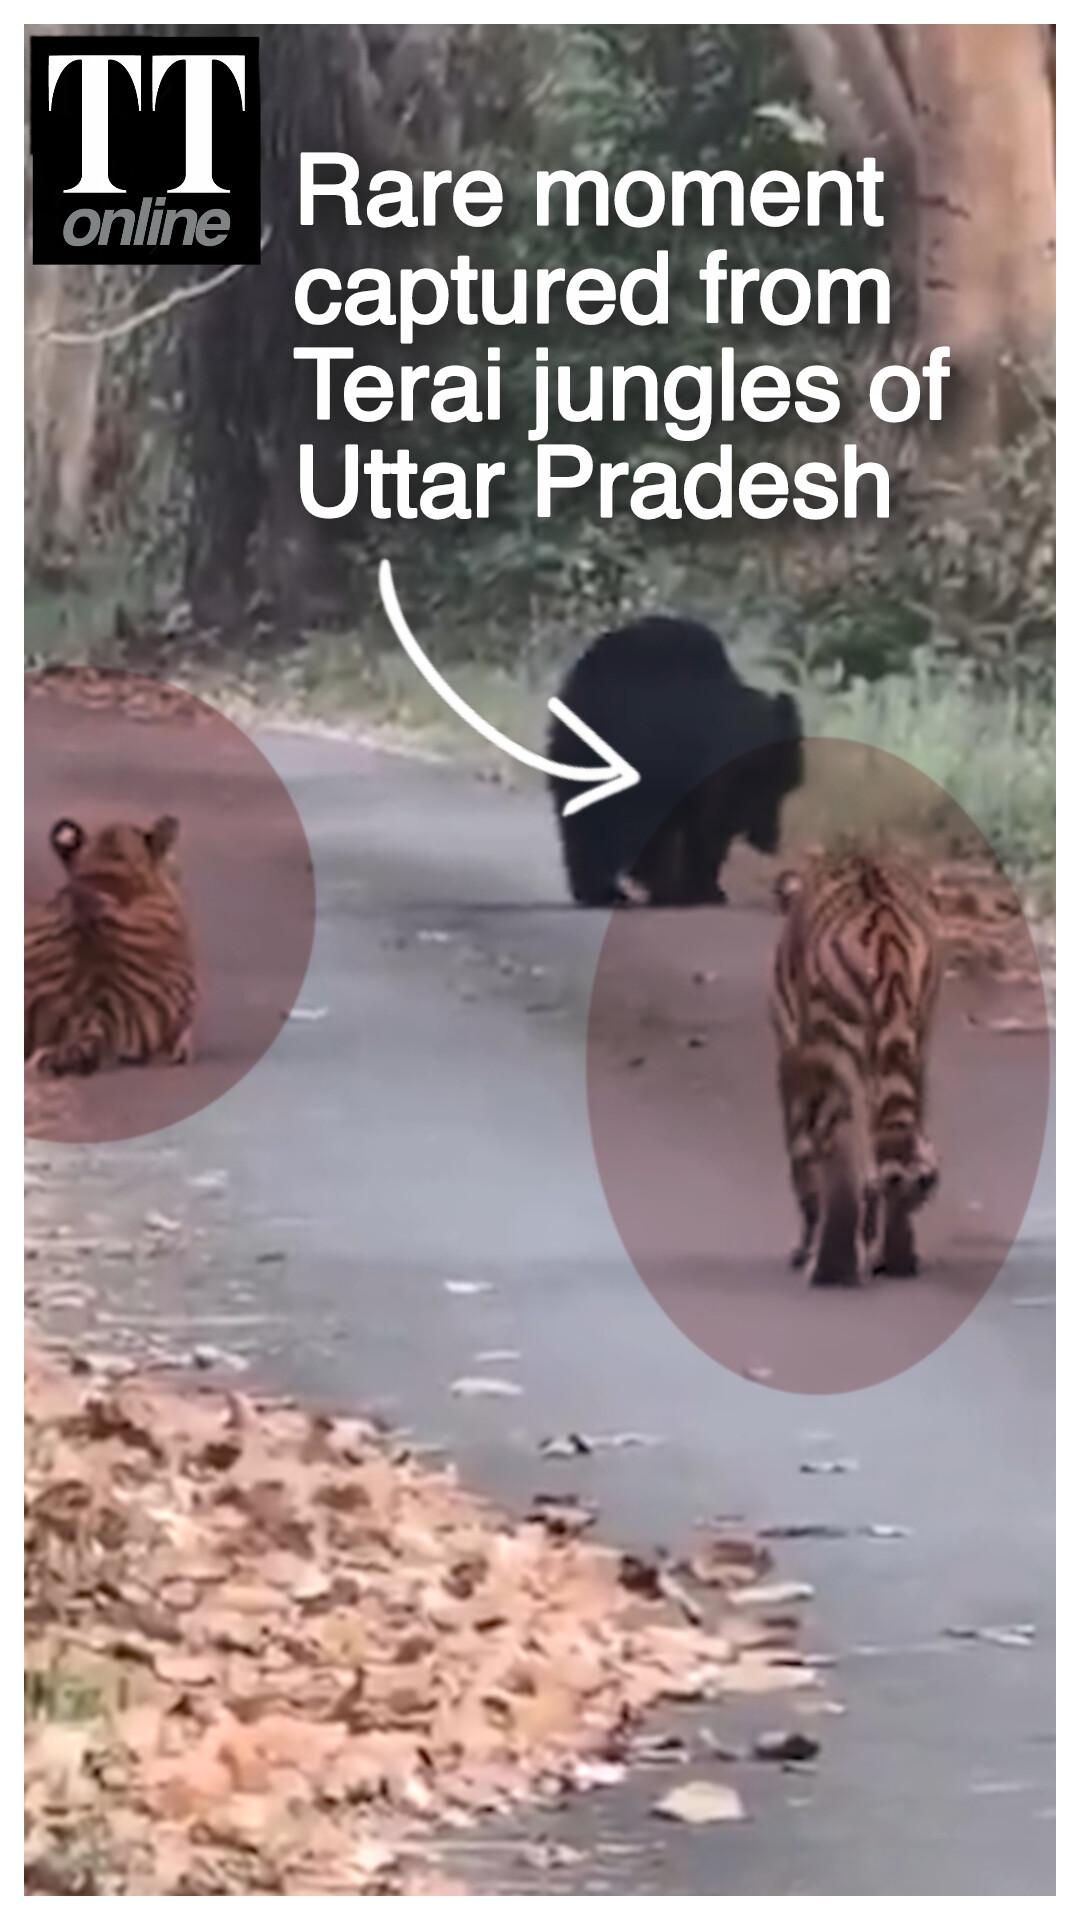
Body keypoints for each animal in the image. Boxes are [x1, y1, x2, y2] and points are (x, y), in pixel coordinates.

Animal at [547, 615, 804, 908]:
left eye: (787, 785)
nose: (770, 840)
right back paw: (605, 890)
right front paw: (698, 888)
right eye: (767, 786)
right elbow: (703, 827)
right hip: (586, 746)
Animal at [770, 849, 941, 1287]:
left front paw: (803, 1249)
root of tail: (886, 934)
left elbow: (802, 1159)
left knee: (841, 1158)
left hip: (834, 1055)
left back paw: (831, 1269)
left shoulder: (795, 1063)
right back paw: (897, 1259)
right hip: (911, 1045)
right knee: (901, 1152)